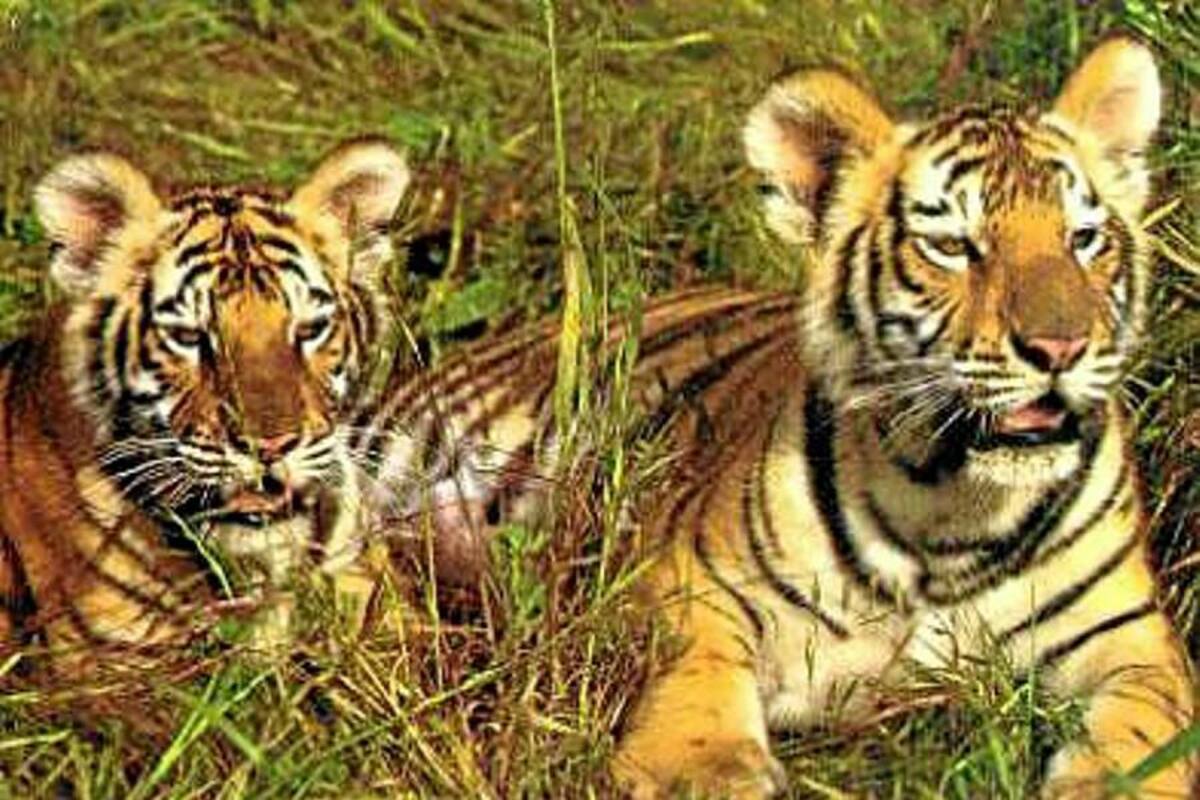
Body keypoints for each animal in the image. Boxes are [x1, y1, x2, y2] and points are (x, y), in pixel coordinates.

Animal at [593, 37, 1196, 799]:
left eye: (1083, 239)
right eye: (953, 246)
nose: (1061, 348)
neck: (953, 505)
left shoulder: (1131, 632)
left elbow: (1148, 719)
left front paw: (1116, 781)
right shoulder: (693, 578)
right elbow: (693, 667)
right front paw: (699, 770)